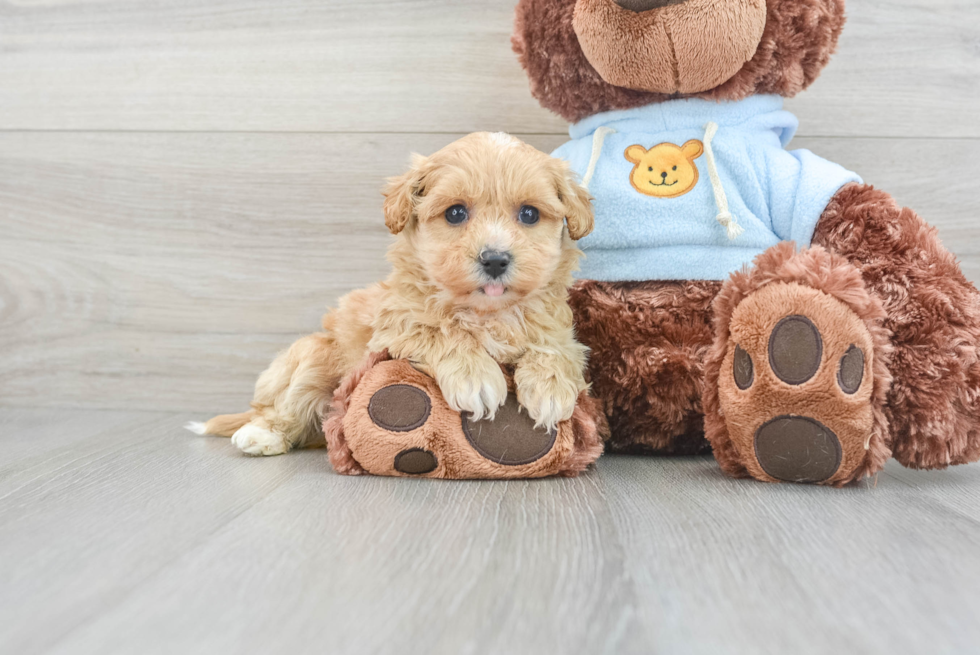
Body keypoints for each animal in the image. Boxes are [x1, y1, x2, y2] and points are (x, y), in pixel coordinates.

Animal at [189, 133, 592, 456]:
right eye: (456, 213)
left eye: (529, 214)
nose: (495, 259)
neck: (486, 311)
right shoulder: (395, 326)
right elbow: (441, 331)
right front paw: (475, 378)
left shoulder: (560, 332)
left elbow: (556, 350)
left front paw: (551, 390)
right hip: (314, 356)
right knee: (283, 408)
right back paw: (261, 435)